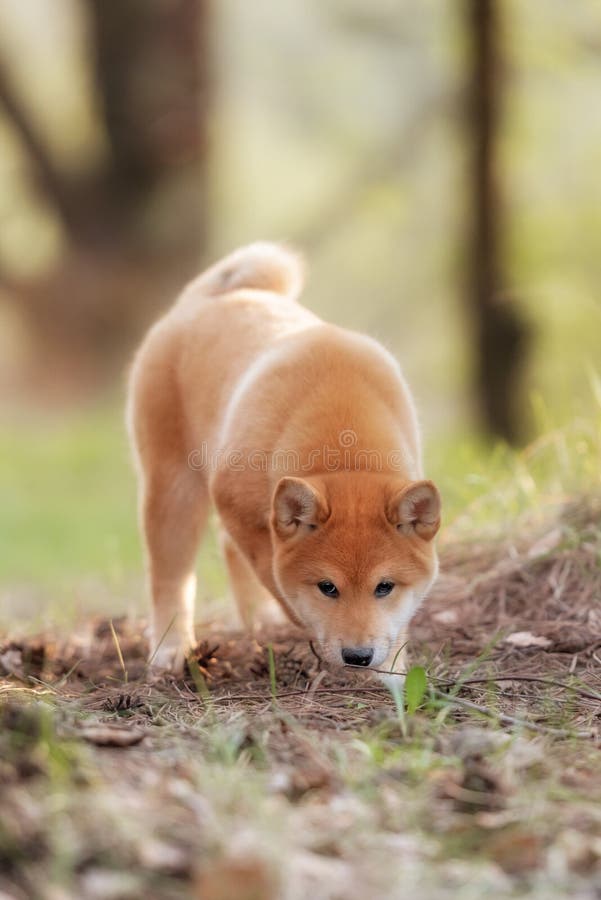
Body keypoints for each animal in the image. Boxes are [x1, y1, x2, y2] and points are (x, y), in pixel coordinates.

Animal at [126, 244, 438, 684]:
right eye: (327, 587)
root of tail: (209, 295)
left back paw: (260, 622)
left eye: (384, 587)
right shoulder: (241, 508)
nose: (358, 655)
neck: (344, 445)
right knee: (171, 577)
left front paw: (391, 668)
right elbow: (274, 574)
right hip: (174, 488)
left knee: (225, 548)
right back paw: (172, 648)